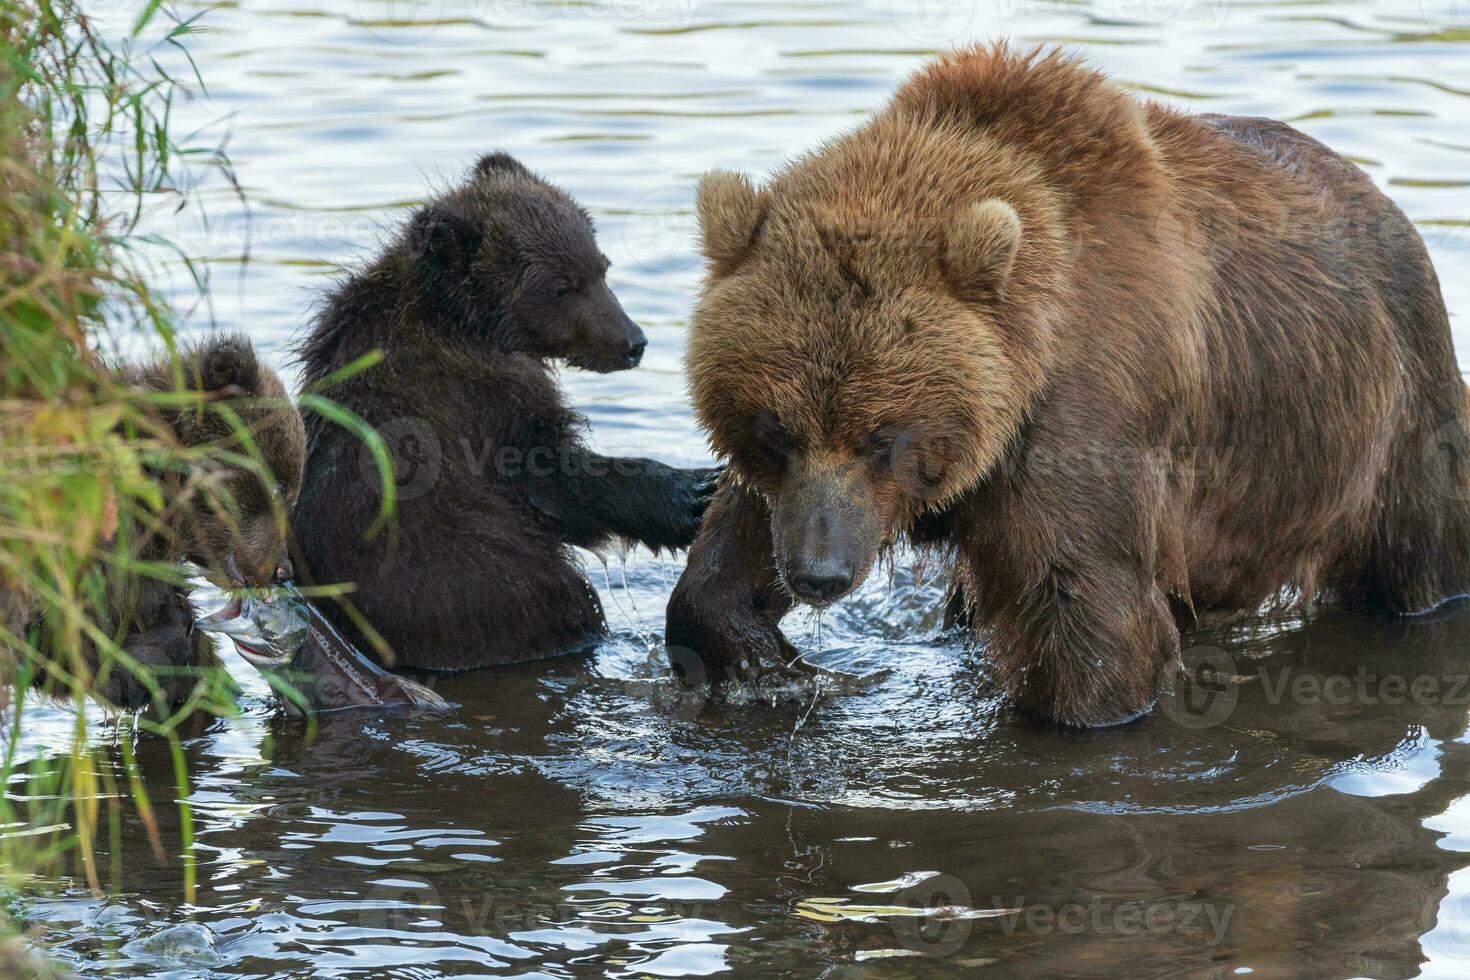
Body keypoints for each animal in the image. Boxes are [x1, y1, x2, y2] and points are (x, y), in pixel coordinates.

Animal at [673, 42, 1470, 725]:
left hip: (1390, 428)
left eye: (882, 435)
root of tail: (1384, 203)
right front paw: (753, 651)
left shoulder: (1082, 418)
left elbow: (1093, 623)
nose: (819, 574)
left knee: (1424, 547)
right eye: (775, 430)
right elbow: (734, 544)